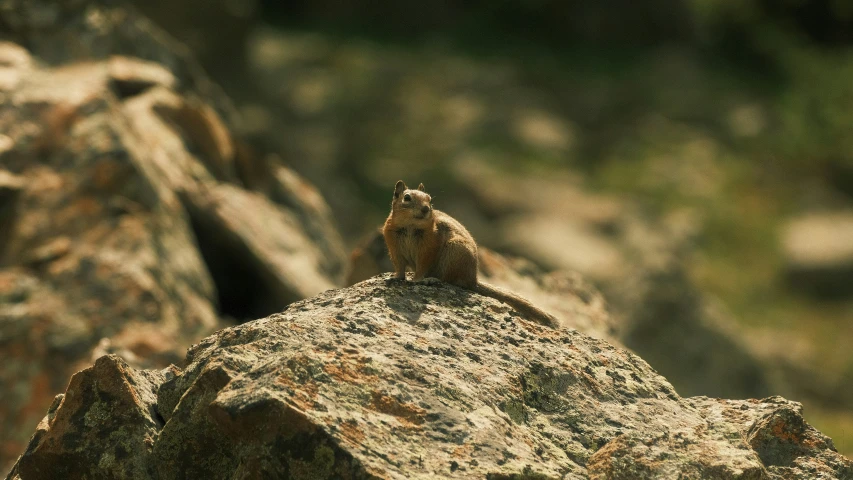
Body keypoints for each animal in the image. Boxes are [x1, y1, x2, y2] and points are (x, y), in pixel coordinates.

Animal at [384, 182, 560, 328]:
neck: (410, 226)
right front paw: (395, 277)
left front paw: (418, 280)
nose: (426, 209)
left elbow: (422, 266)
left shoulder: (428, 249)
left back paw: (432, 279)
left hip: (454, 253)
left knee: (448, 279)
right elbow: (399, 266)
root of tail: (473, 279)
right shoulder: (393, 246)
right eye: (407, 198)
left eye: (429, 199)